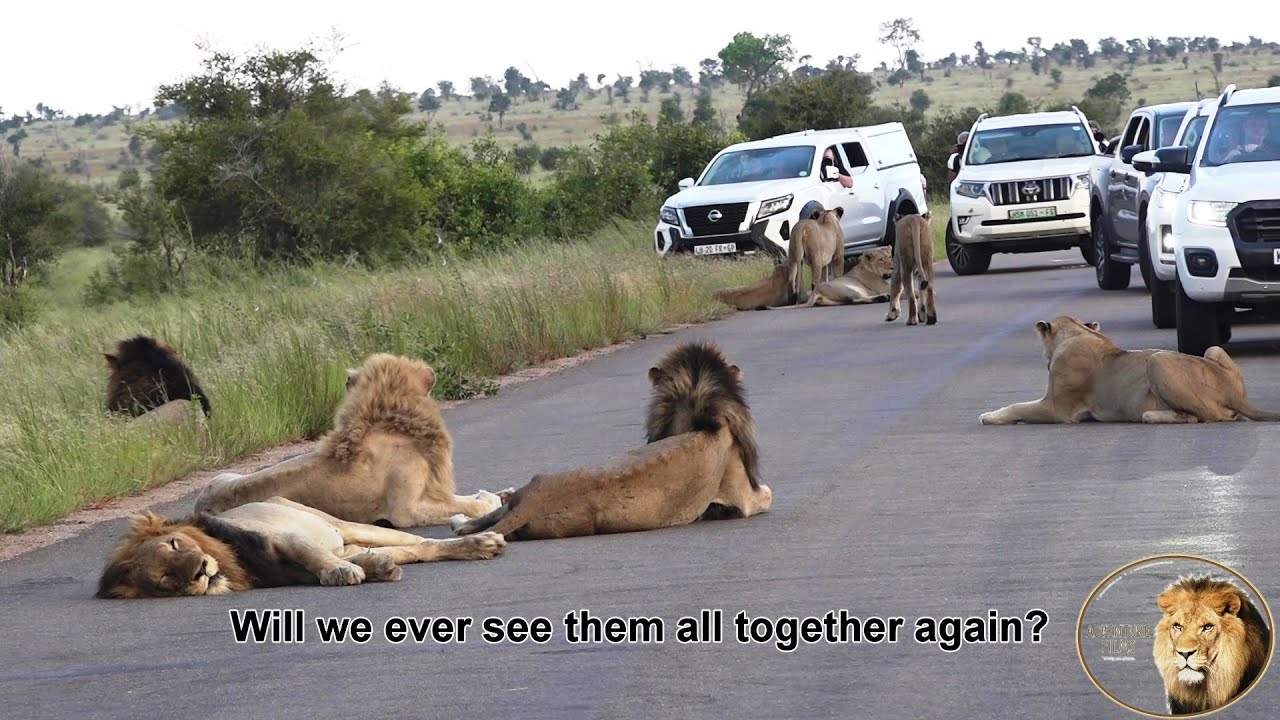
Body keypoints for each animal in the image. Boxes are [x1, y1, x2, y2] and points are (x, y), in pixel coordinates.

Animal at [193, 353, 507, 528]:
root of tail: (199, 508)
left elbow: (465, 498)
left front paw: (501, 492)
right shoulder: (406, 510)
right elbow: (469, 505)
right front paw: (490, 501)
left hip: (225, 476)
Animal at [452, 341, 772, 540]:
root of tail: (534, 500)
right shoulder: (743, 497)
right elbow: (767, 494)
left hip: (526, 490)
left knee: (494, 512)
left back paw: (462, 526)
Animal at [978, 316, 1280, 424]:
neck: (1078, 332)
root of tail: (1236, 395)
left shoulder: (1058, 409)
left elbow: (1018, 407)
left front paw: (989, 416)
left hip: (1156, 360)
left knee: (1204, 416)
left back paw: (1151, 415)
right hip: (1212, 350)